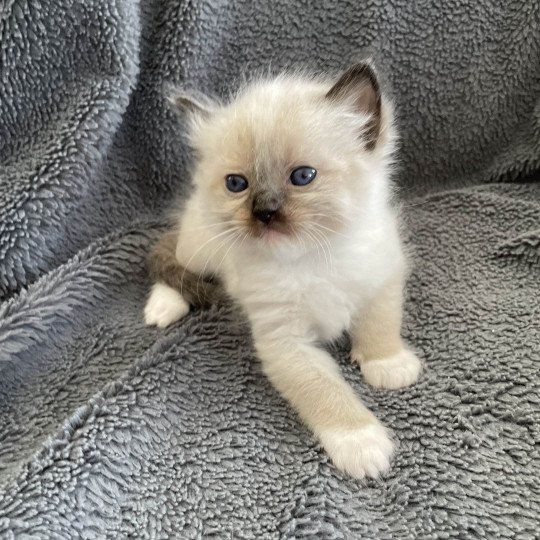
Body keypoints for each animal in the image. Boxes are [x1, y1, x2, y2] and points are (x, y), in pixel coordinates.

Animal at [143, 61, 422, 478]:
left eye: (303, 176)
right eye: (237, 184)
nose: (265, 212)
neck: (313, 257)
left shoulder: (382, 277)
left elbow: (380, 325)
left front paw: (388, 366)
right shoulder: (286, 341)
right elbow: (324, 392)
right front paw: (361, 444)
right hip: (202, 247)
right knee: (172, 262)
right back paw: (161, 309)